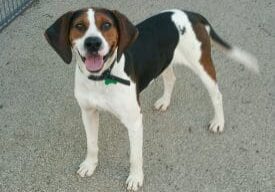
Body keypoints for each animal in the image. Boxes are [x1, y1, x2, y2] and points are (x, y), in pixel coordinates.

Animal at [44, 6, 258, 191]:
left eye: (106, 25)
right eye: (79, 26)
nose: (93, 43)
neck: (102, 77)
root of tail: (191, 13)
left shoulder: (134, 122)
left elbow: (135, 157)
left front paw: (135, 178)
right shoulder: (88, 112)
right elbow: (91, 144)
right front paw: (90, 164)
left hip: (202, 65)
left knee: (216, 95)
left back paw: (218, 122)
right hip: (164, 61)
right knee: (171, 78)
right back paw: (165, 101)